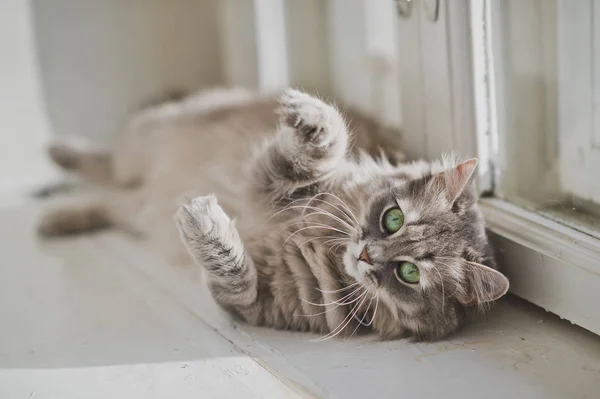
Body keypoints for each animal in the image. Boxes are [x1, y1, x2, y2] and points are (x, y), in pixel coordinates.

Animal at [38, 86, 506, 340]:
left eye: (409, 273)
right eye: (393, 219)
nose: (366, 255)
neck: (325, 245)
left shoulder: (254, 303)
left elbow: (233, 272)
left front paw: (206, 223)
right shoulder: (277, 180)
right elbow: (324, 139)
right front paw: (308, 115)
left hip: (135, 207)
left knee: (107, 197)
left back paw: (55, 217)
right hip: (145, 143)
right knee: (105, 162)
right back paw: (58, 154)